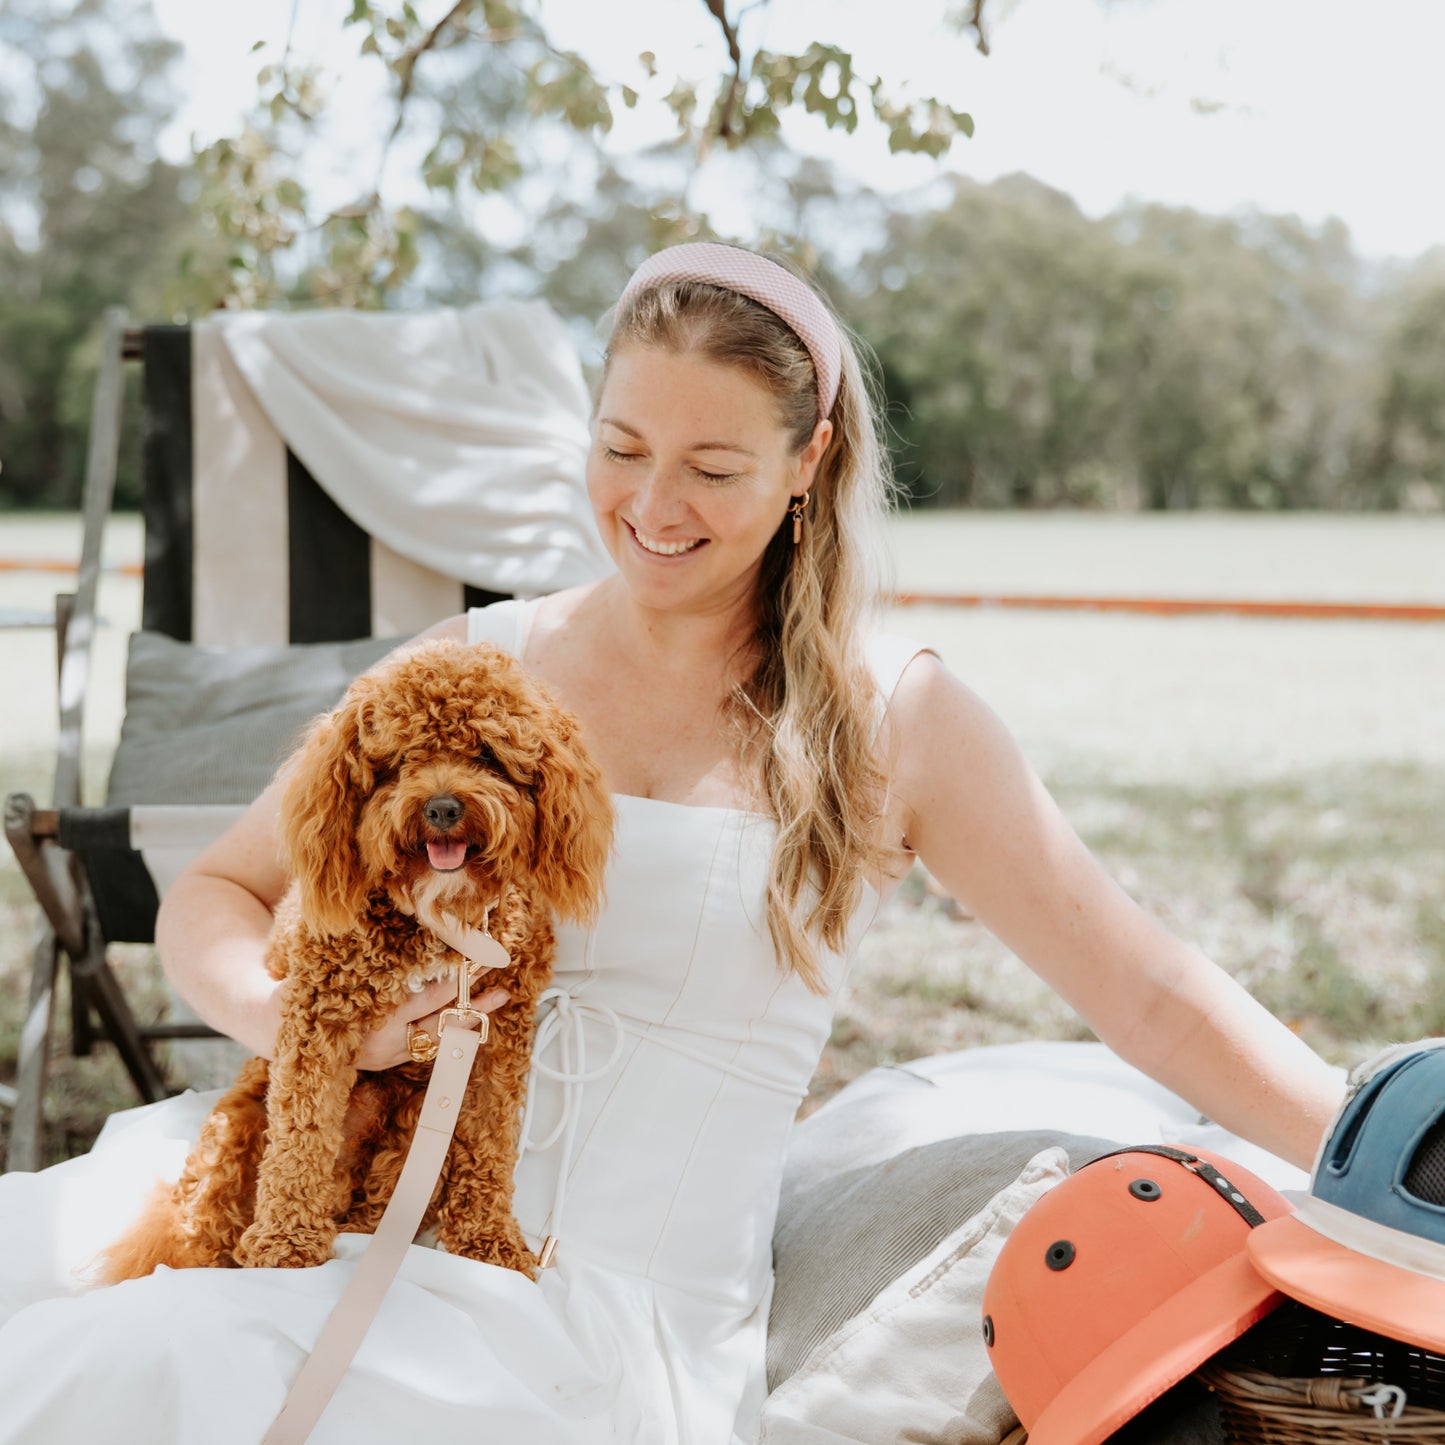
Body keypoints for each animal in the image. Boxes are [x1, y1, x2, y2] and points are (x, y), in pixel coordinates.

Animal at [96, 638, 615, 1283]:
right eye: (402, 759)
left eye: (487, 755)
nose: (442, 808)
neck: (442, 918)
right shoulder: (320, 1021)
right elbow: (301, 1136)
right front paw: (285, 1244)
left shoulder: (496, 1036)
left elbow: (491, 1141)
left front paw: (489, 1243)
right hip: (237, 1124)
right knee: (202, 1219)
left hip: (410, 1137)